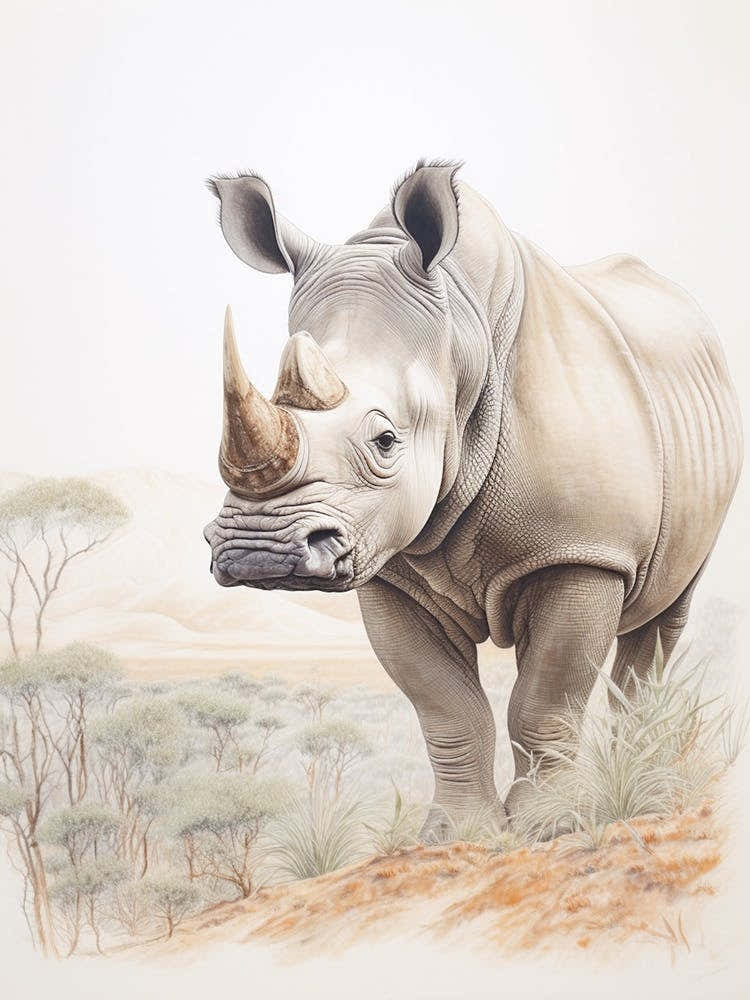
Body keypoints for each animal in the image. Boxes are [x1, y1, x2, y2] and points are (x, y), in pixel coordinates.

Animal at [203, 161, 743, 835]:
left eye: (386, 441)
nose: (260, 550)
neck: (459, 339)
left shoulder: (584, 550)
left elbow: (547, 699)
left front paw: (553, 825)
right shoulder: (390, 568)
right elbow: (445, 708)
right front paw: (457, 833)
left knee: (664, 617)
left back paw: (646, 784)